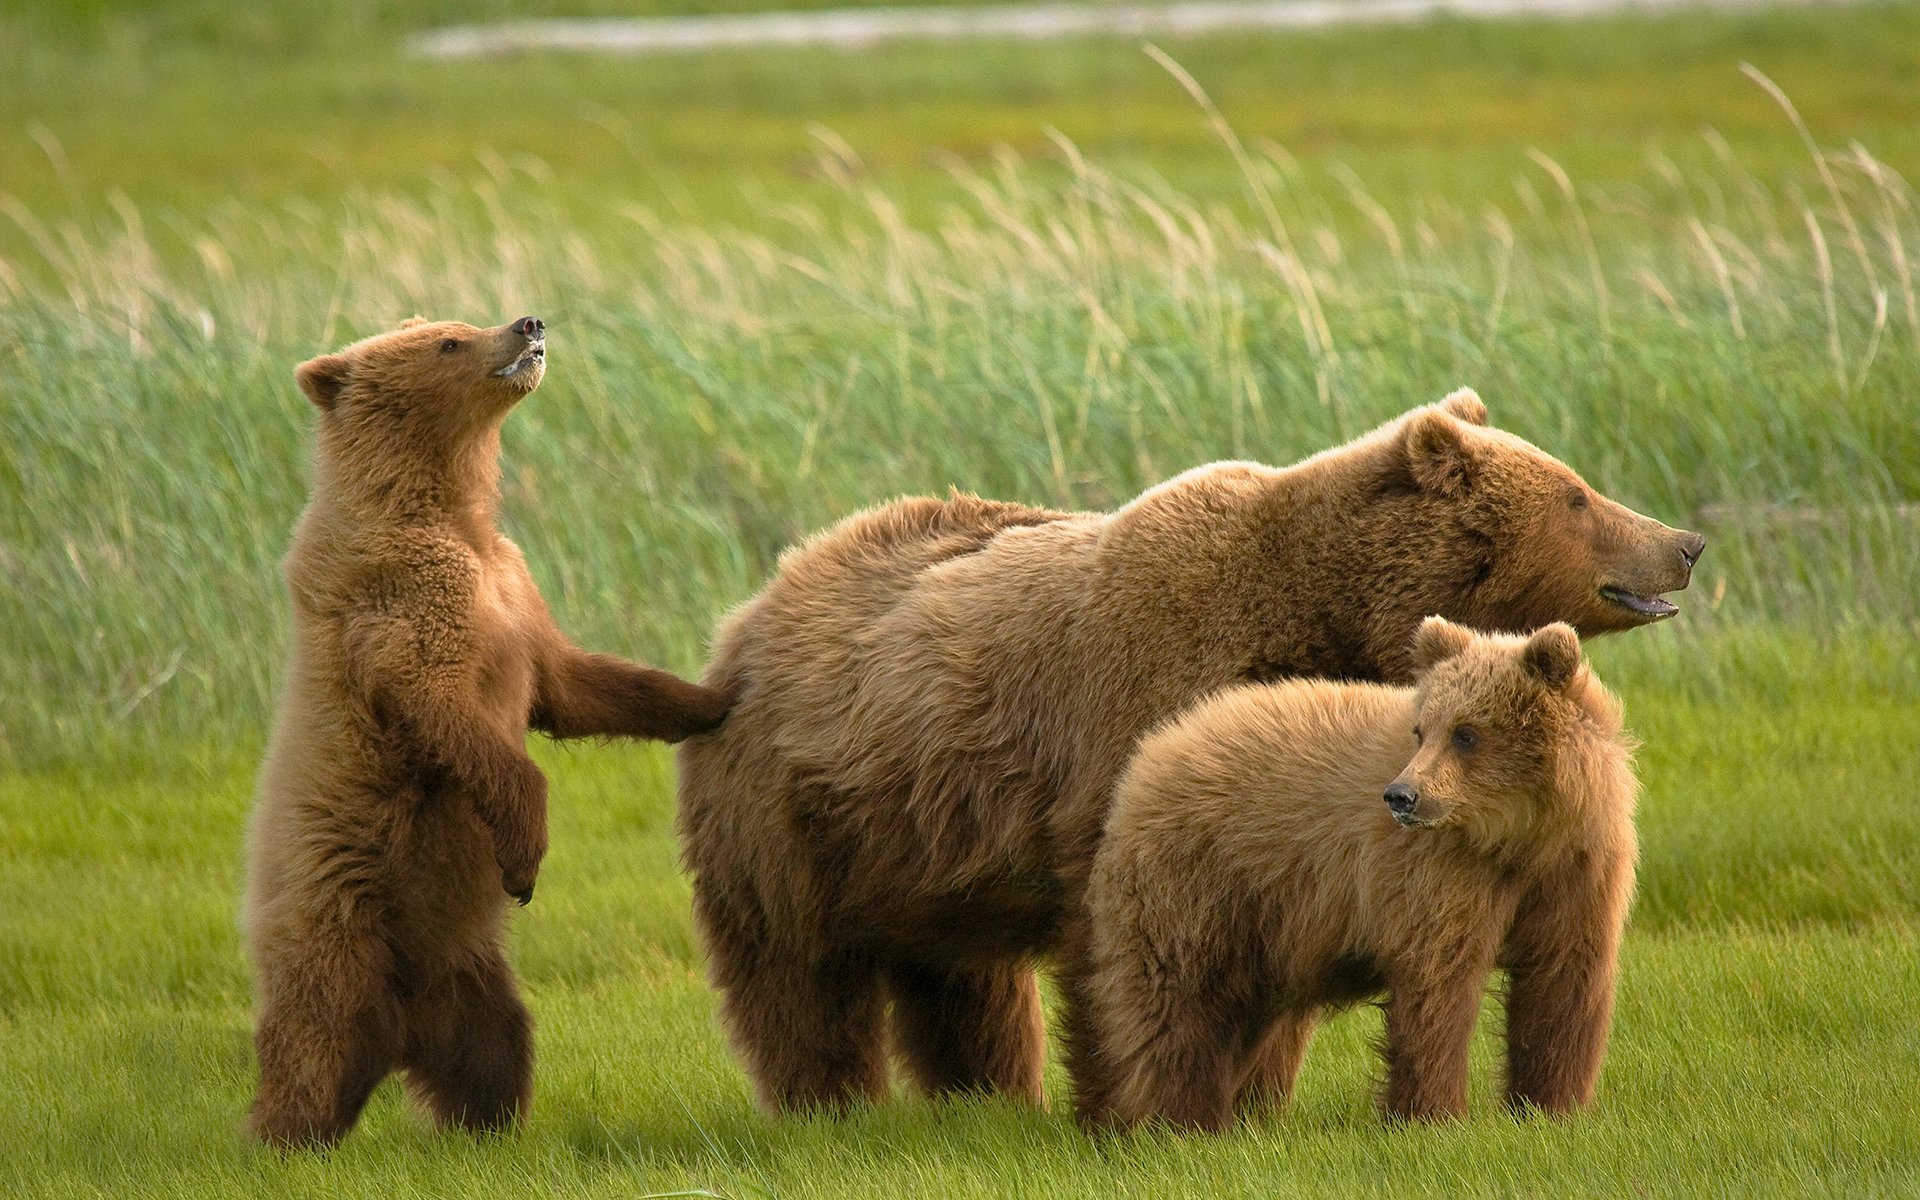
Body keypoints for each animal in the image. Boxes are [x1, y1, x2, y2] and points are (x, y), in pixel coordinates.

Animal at [244, 315, 732, 1148]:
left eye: (460, 322)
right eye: (448, 341)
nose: (527, 322)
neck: (448, 509)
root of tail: (396, 1035)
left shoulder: (513, 587)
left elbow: (575, 685)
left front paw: (715, 697)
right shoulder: (406, 602)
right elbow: (451, 711)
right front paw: (525, 856)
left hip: (466, 968)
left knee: (495, 1042)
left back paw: (487, 1125)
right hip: (339, 918)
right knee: (312, 1036)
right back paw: (283, 1137)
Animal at [1076, 617, 1638, 1133]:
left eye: (1467, 733)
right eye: (1422, 729)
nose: (1401, 795)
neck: (1520, 836)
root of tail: (1151, 752)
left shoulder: (1579, 867)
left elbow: (1563, 980)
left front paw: (1551, 1108)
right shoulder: (1439, 872)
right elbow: (1439, 983)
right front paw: (1435, 1115)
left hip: (1267, 927)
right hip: (1198, 883)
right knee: (1179, 1002)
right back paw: (1183, 1120)